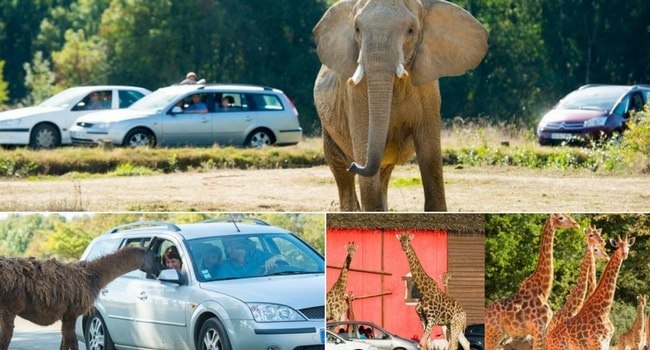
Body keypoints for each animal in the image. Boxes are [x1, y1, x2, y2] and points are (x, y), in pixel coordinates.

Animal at [0, 246, 161, 350]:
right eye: (156, 258)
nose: (159, 271)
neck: (92, 276)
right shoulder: (71, 314)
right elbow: (67, 344)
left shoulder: (69, 316)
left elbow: (72, 344)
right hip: (8, 308)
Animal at [312, 0, 486, 211]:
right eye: (357, 29)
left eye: (410, 30)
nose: (354, 165)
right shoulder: (354, 94)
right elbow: (363, 146)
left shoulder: (428, 90)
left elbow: (430, 153)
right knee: (341, 172)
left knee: (383, 174)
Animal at [480, 213, 576, 350]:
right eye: (561, 218)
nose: (576, 224)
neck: (543, 290)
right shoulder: (539, 328)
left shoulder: (543, 330)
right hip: (493, 332)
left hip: (500, 333)